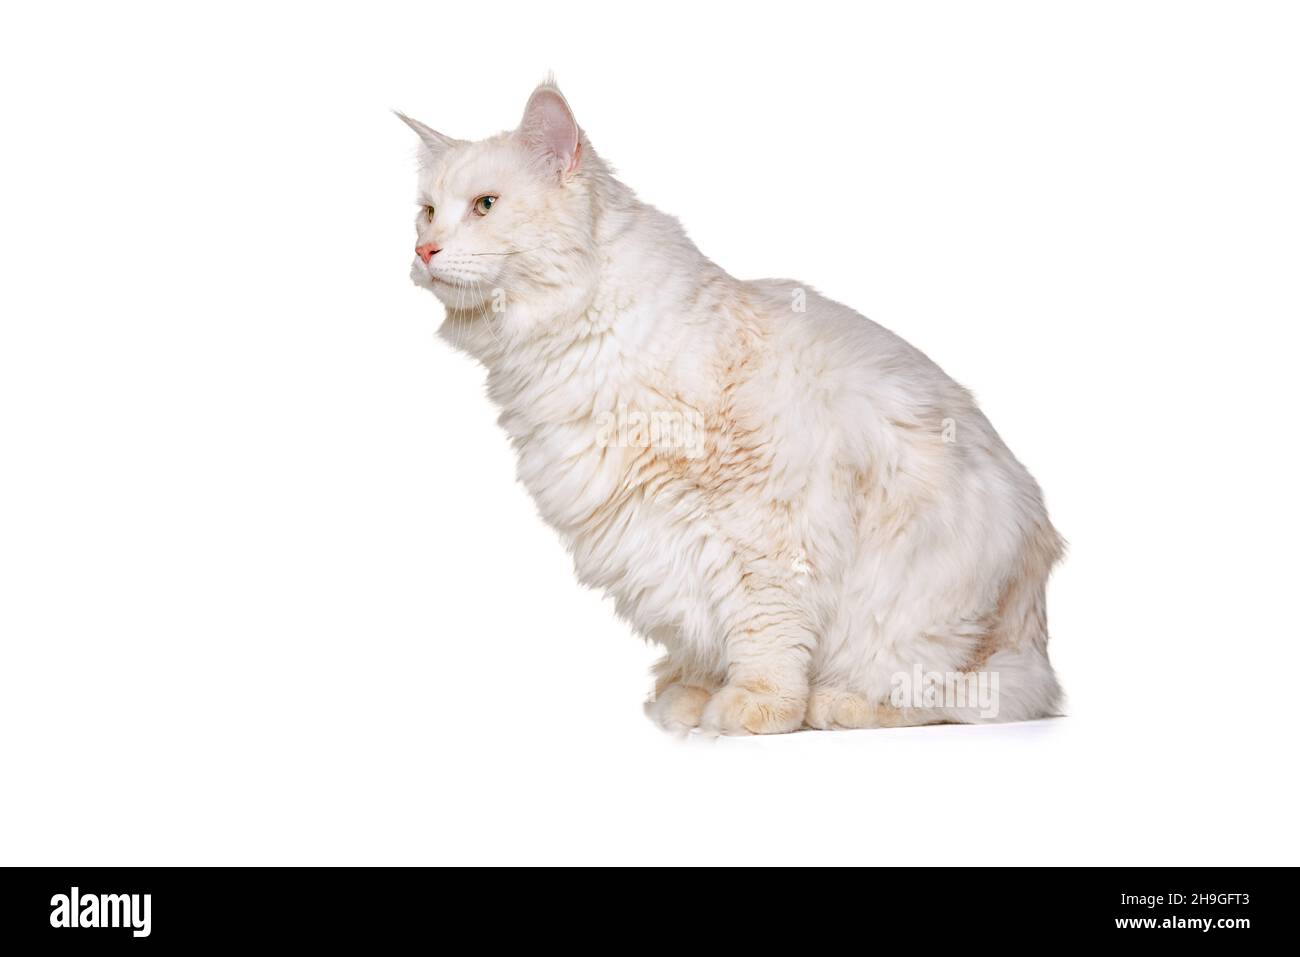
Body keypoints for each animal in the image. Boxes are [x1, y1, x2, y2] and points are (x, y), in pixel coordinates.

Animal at [397, 82, 1066, 738]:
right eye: (426, 211)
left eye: (485, 205)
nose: (424, 250)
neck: (567, 343)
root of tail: (1035, 630)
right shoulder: (658, 533)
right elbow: (698, 630)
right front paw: (693, 698)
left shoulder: (767, 522)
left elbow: (764, 631)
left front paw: (757, 707)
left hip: (924, 618)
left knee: (952, 694)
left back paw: (835, 704)